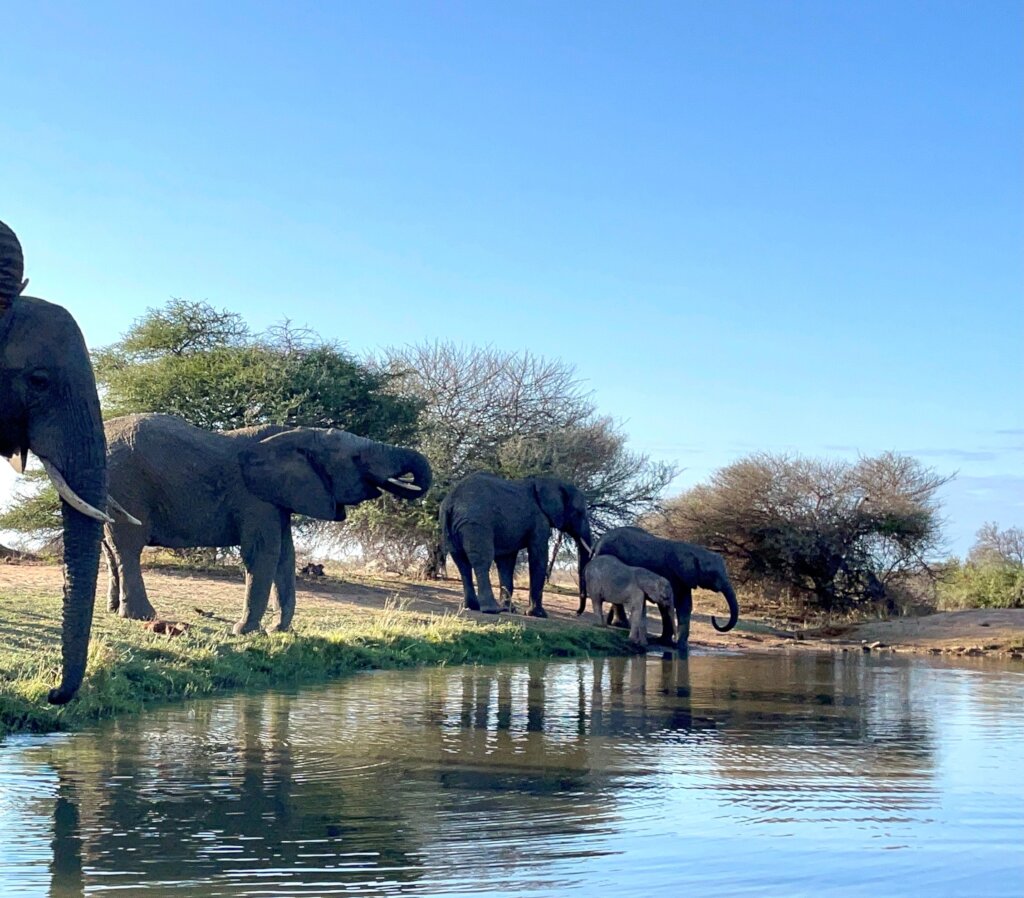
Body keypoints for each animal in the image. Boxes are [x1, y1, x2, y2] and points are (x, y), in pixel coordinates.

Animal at [103, 413, 432, 634]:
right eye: (357, 458)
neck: (297, 435)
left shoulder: (277, 500)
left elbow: (286, 556)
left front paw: (279, 631)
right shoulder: (255, 499)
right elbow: (264, 553)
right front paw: (246, 632)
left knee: (111, 548)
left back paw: (115, 610)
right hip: (127, 483)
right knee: (128, 547)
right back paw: (142, 617)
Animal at [439, 472, 594, 617]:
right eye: (579, 513)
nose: (576, 613)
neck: (547, 482)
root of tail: (451, 501)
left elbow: (506, 562)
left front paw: (509, 610)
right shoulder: (539, 520)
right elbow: (538, 557)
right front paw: (538, 614)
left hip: (451, 527)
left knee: (461, 563)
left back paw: (472, 607)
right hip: (476, 523)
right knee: (482, 562)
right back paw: (492, 610)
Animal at [592, 526, 739, 649]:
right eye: (714, 574)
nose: (713, 618)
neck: (694, 551)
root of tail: (598, 541)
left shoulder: (683, 578)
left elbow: (684, 606)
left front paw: (681, 646)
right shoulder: (671, 573)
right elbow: (666, 605)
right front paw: (667, 643)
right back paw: (622, 625)